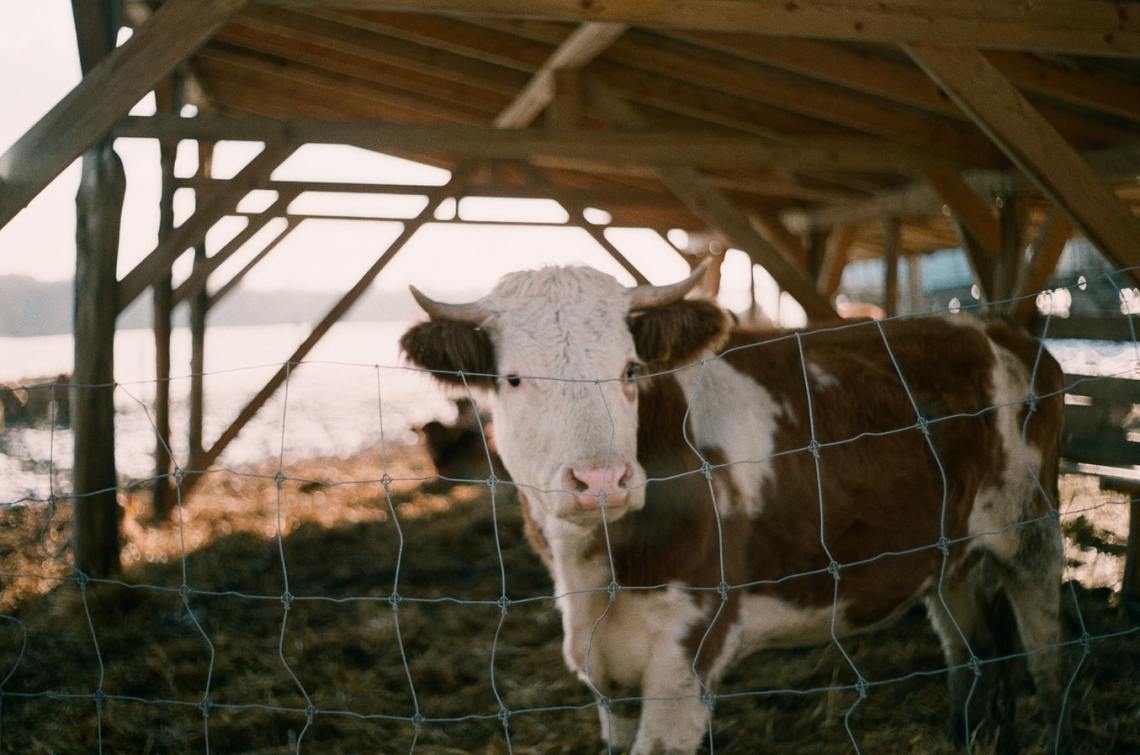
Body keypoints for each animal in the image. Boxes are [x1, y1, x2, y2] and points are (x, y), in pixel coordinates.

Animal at [399, 263, 1069, 754]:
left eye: (630, 369)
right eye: (514, 379)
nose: (601, 479)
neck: (596, 572)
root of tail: (996, 328)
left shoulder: (687, 658)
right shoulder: (607, 677)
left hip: (1033, 529)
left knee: (1044, 656)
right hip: (948, 556)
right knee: (972, 652)